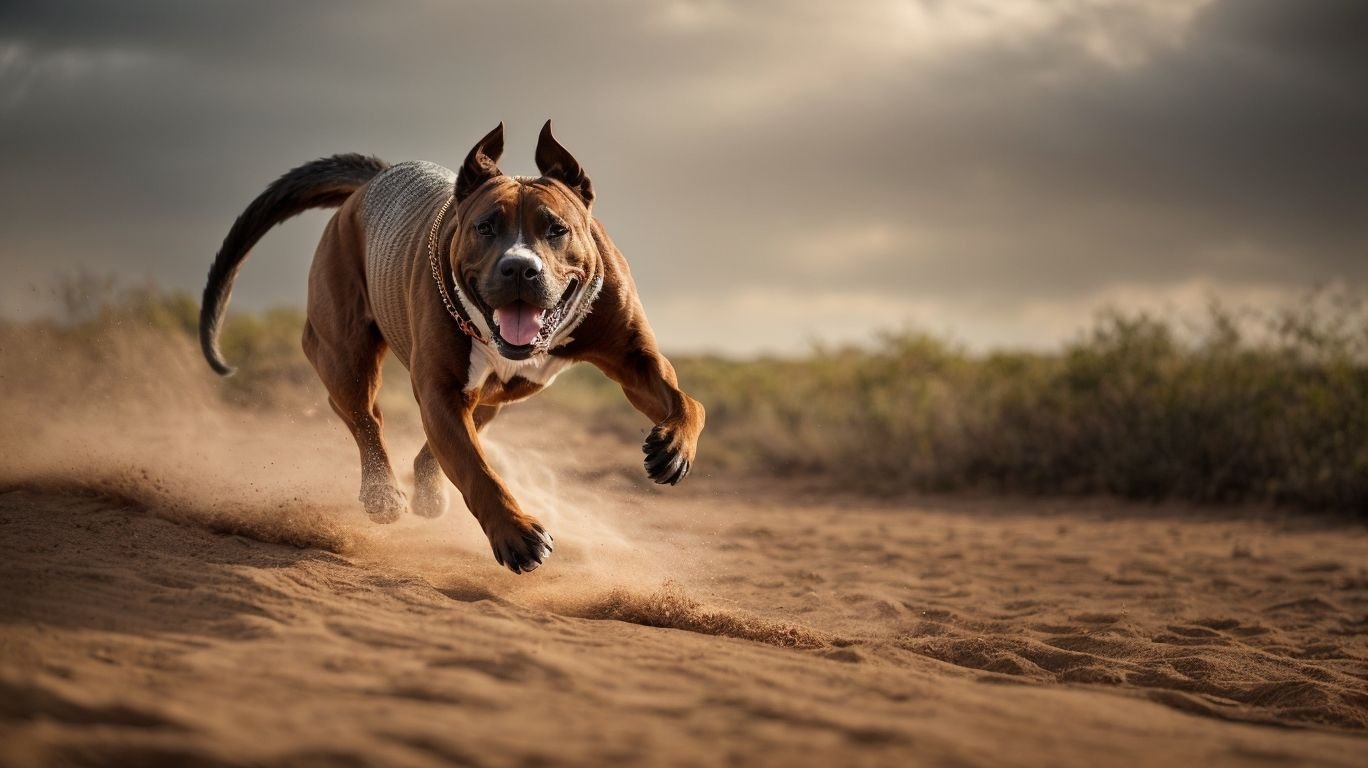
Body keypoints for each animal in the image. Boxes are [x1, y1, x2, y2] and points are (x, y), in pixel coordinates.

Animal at [199, 122, 705, 572]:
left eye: (556, 229)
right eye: (485, 227)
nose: (519, 268)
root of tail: (374, 180)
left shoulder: (635, 359)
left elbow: (686, 402)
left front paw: (673, 447)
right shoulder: (440, 391)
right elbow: (478, 471)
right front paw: (516, 534)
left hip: (490, 398)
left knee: (438, 439)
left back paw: (427, 490)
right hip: (345, 351)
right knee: (364, 417)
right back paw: (382, 495)